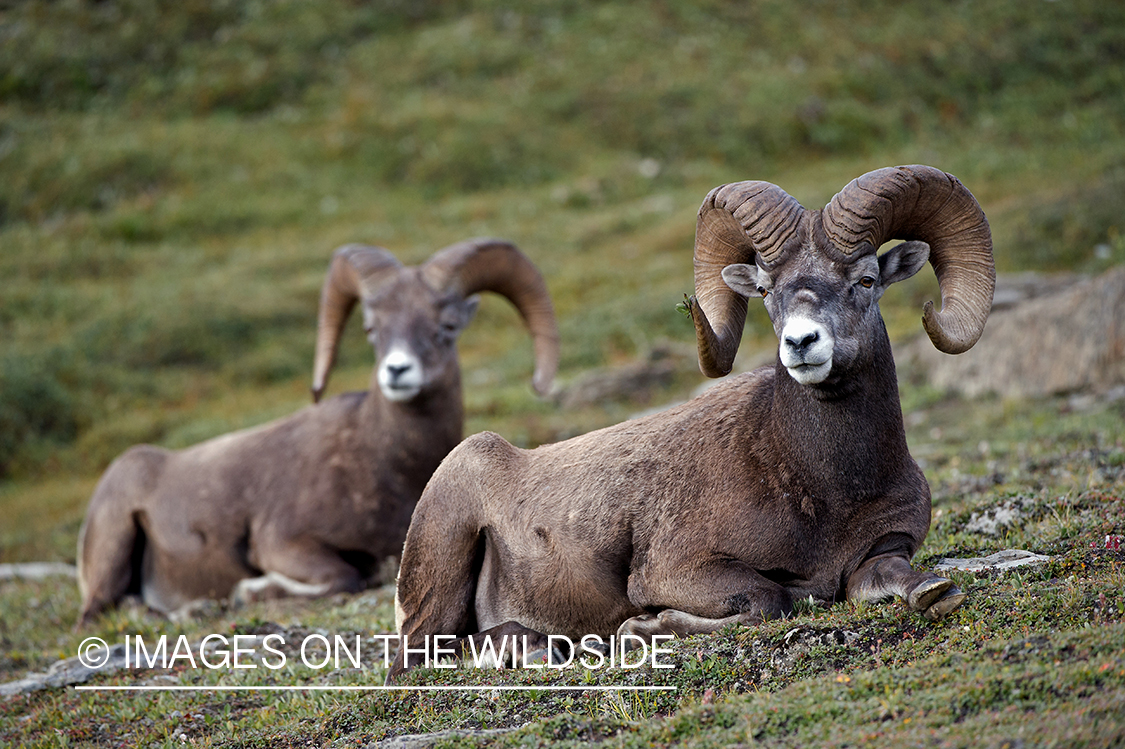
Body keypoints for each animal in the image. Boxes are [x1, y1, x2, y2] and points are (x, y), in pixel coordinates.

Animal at [76, 238, 559, 624]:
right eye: (372, 329)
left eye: (447, 327)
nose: (397, 371)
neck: (382, 465)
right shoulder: (280, 543)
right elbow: (344, 576)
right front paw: (249, 592)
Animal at [387, 166, 994, 680]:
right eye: (767, 289)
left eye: (866, 280)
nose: (801, 343)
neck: (825, 489)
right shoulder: (680, 571)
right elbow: (771, 599)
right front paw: (640, 628)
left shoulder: (885, 546)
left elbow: (887, 577)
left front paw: (932, 591)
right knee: (423, 656)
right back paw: (537, 646)